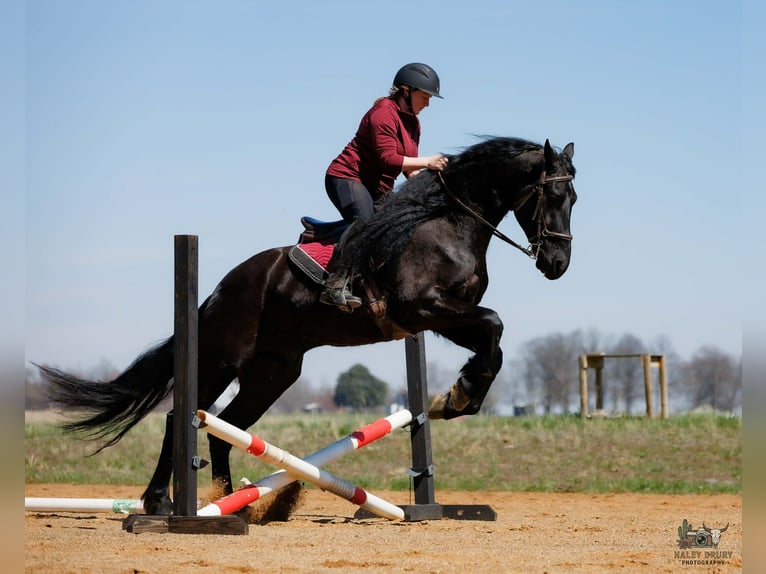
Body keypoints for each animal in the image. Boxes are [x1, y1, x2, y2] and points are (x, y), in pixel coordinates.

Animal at [39, 136, 577, 515]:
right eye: (551, 193)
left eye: (574, 196)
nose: (557, 264)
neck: (447, 223)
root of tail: (218, 290)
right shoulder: (423, 309)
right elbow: (494, 326)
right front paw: (460, 396)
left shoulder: (441, 317)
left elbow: (493, 341)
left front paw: (458, 396)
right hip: (221, 357)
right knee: (182, 418)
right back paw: (163, 503)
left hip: (273, 372)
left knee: (225, 430)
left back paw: (230, 504)